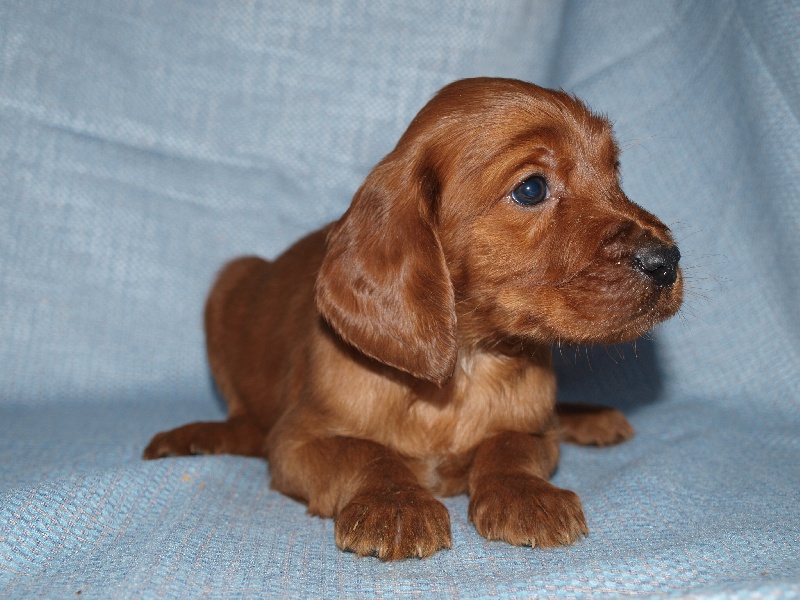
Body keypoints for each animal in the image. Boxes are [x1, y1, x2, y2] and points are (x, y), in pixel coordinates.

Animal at [144, 77, 680, 560]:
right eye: (531, 188)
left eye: (614, 172)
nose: (668, 261)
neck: (463, 366)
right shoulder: (297, 441)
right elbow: (367, 451)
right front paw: (395, 504)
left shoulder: (534, 429)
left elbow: (509, 444)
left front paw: (527, 495)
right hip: (228, 285)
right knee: (247, 424)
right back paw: (196, 437)